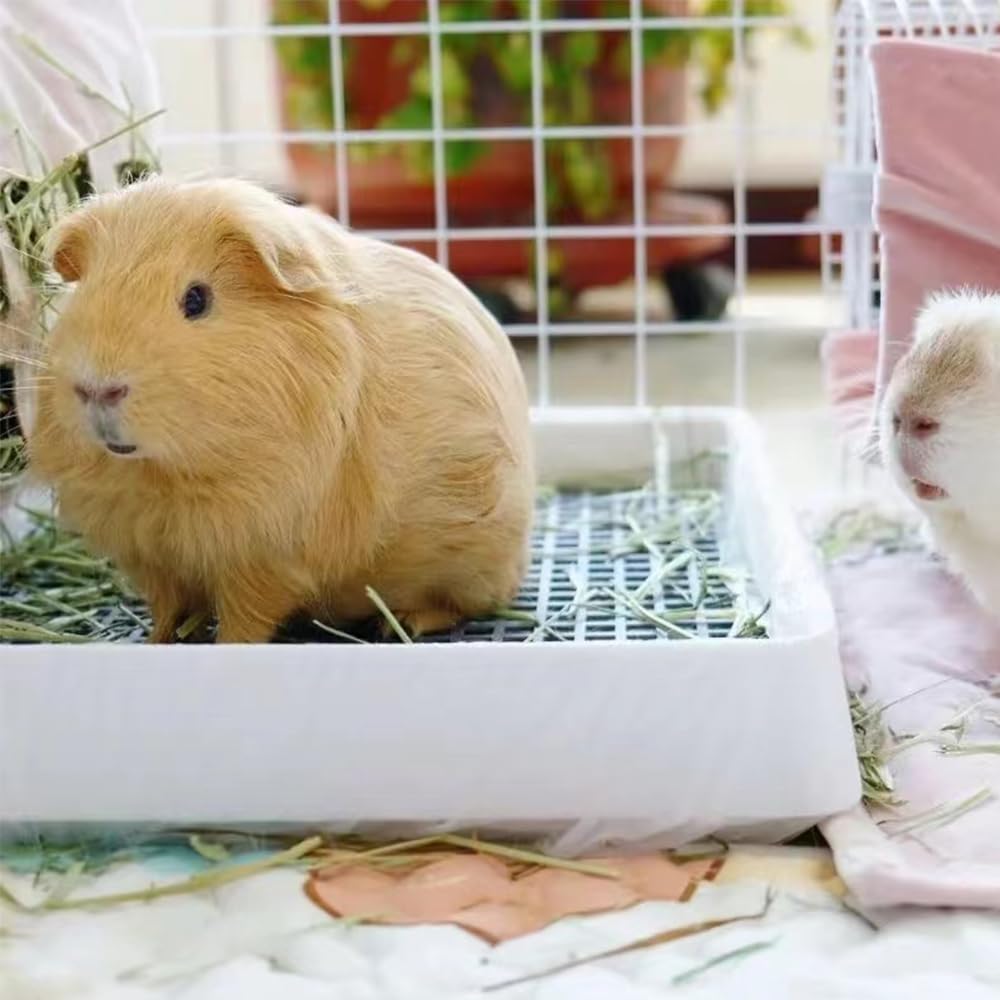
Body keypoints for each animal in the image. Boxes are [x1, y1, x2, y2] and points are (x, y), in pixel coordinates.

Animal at [28, 176, 535, 643]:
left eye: (197, 299)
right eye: (85, 294)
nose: (97, 389)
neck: (166, 480)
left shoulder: (261, 555)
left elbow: (244, 619)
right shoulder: (152, 554)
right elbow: (167, 609)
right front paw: (156, 641)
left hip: (474, 566)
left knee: (461, 605)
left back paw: (398, 624)